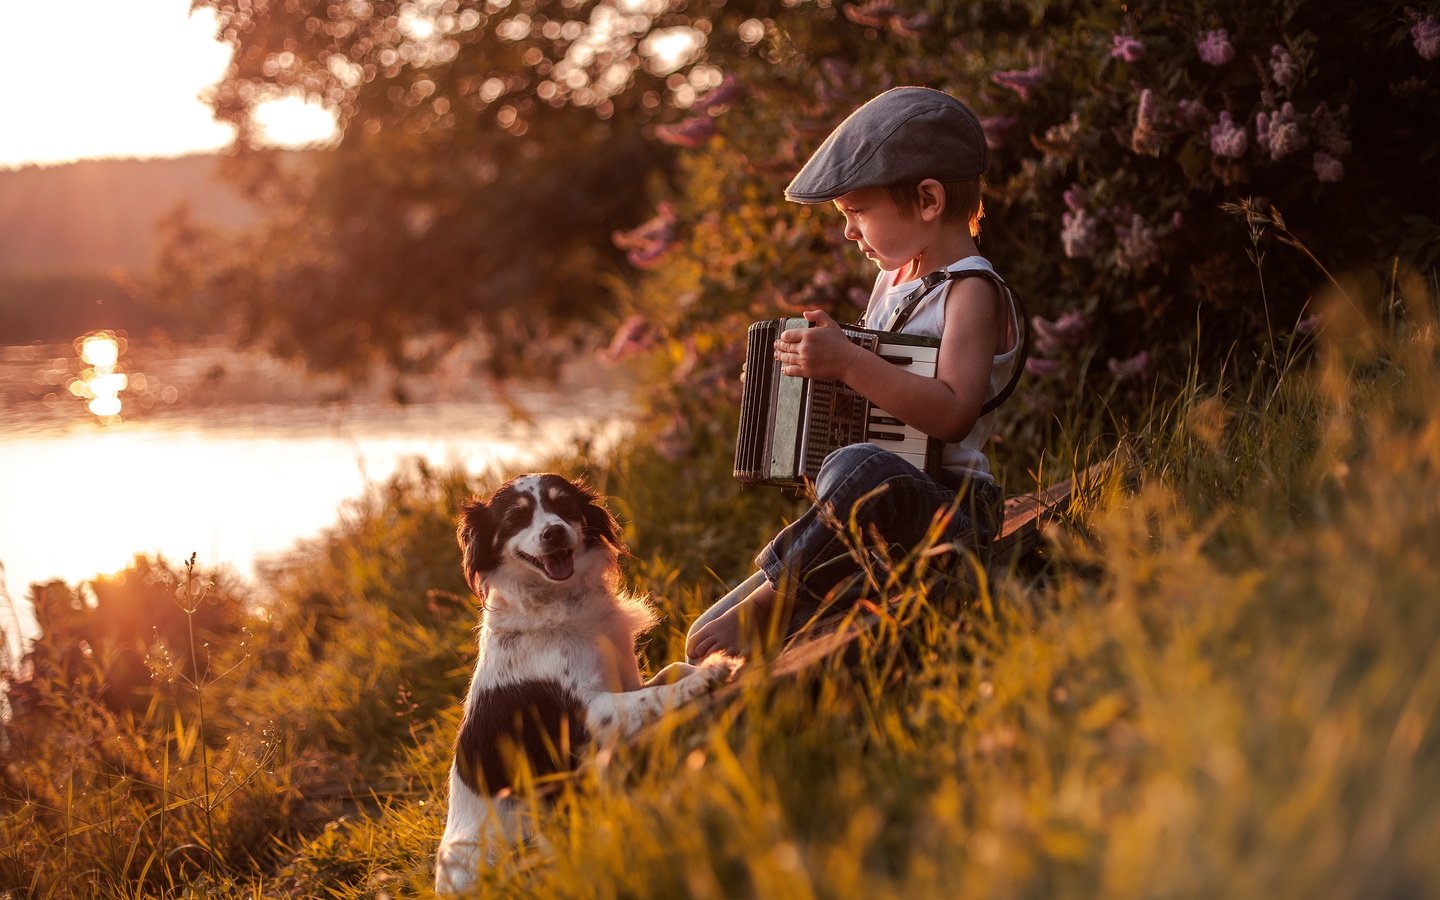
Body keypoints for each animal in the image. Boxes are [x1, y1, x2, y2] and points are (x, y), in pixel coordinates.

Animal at [432, 475, 731, 887]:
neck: (560, 601)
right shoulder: (588, 713)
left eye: (564, 506)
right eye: (516, 518)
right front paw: (709, 675)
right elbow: (658, 695)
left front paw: (709, 663)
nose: (554, 532)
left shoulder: (623, 681)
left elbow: (670, 671)